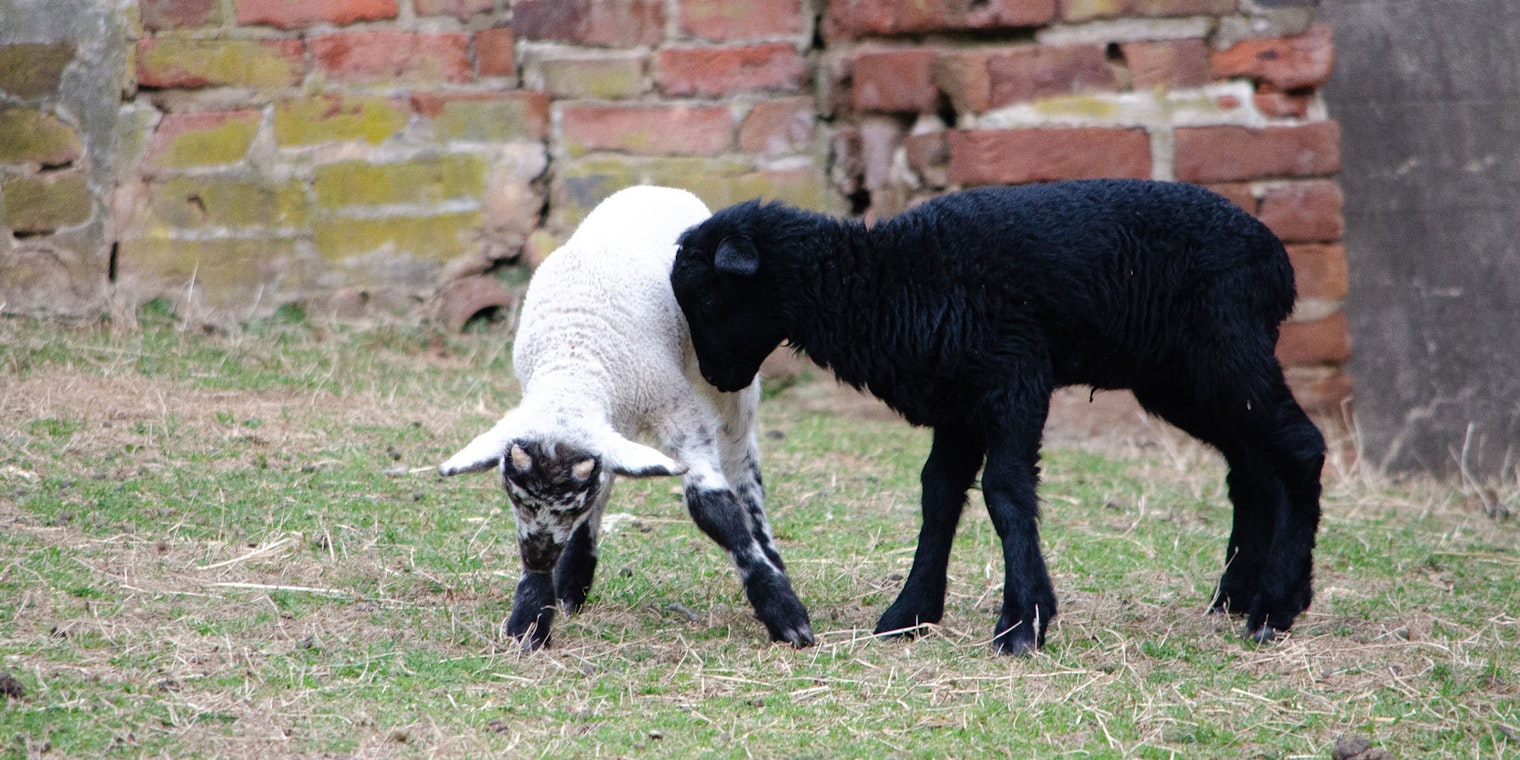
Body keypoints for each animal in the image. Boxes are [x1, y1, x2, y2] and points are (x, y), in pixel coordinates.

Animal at [440, 185, 812, 651]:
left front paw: (783, 610)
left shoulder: (676, 408)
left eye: (571, 503)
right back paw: (573, 578)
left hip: (727, 376)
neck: (576, 357)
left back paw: (768, 547)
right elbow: (600, 484)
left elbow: (715, 509)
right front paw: (532, 613)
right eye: (513, 494)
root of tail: (655, 187)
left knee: (741, 459)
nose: (539, 557)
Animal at [670, 179, 1325, 655]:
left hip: (1226, 349)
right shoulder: (959, 399)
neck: (883, 282)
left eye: (708, 297)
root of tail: (1278, 262)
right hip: (1182, 378)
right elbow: (938, 493)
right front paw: (909, 614)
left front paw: (1020, 624)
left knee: (1300, 447)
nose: (716, 378)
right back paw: (1241, 597)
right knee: (1251, 466)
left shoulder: (1015, 377)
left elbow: (1005, 492)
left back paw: (1274, 608)